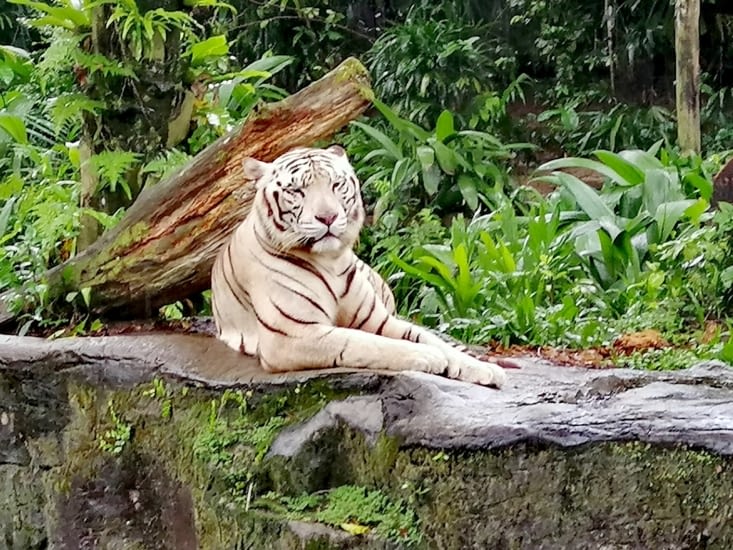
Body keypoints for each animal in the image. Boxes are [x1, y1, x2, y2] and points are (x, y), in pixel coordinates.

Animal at [210, 145, 506, 388]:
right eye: (296, 191)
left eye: (336, 184)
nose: (328, 217)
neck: (329, 261)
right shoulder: (292, 334)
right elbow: (364, 342)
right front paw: (426, 357)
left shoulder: (379, 319)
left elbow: (431, 339)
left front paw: (484, 369)